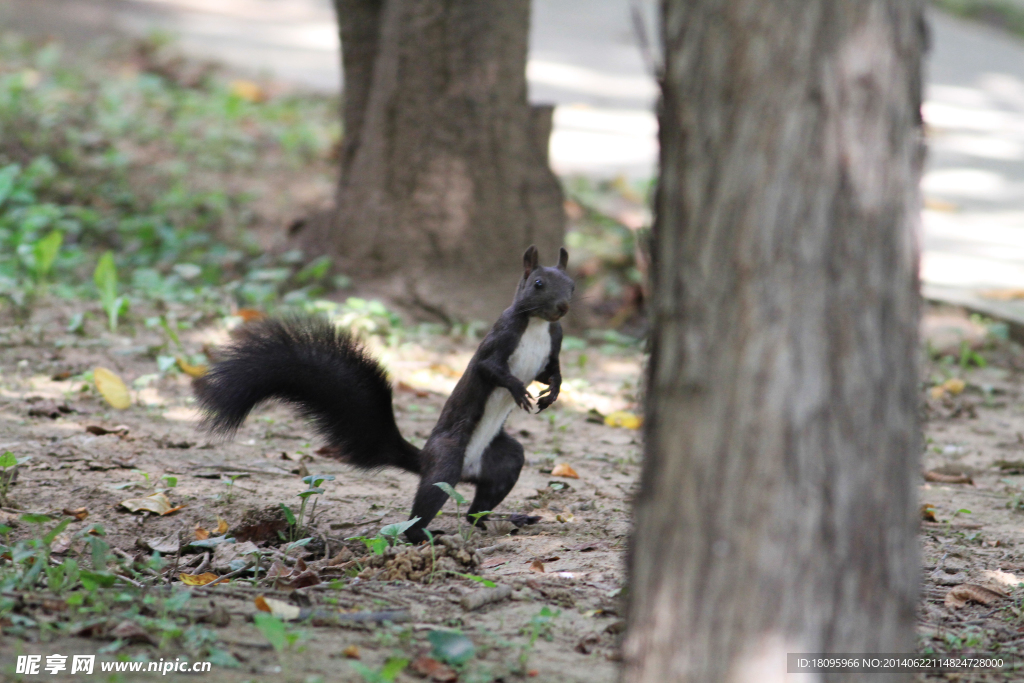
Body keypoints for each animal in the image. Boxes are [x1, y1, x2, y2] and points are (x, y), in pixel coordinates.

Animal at [193, 245, 577, 544]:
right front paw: (518, 389)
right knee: (426, 507)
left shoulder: (554, 344)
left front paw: (552, 392)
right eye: (538, 283)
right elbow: (491, 369)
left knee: (476, 510)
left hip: (504, 460)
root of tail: (430, 460)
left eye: (572, 285)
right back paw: (424, 536)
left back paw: (507, 520)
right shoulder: (499, 340)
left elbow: (551, 373)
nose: (563, 308)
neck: (537, 325)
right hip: (446, 460)